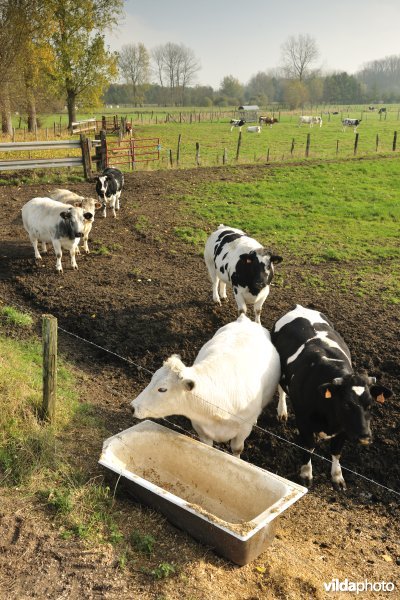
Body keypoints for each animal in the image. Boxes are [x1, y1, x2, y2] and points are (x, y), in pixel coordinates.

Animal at [131, 314, 282, 454]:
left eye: (162, 389)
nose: (133, 407)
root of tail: (244, 320)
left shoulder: (243, 430)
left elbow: (237, 449)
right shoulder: (200, 428)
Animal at [270, 308, 392, 490]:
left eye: (370, 405)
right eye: (347, 404)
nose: (365, 436)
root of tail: (299, 307)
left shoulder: (344, 428)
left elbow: (336, 451)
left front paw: (337, 477)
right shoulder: (303, 421)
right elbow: (308, 447)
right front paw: (306, 474)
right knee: (281, 389)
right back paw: (282, 412)